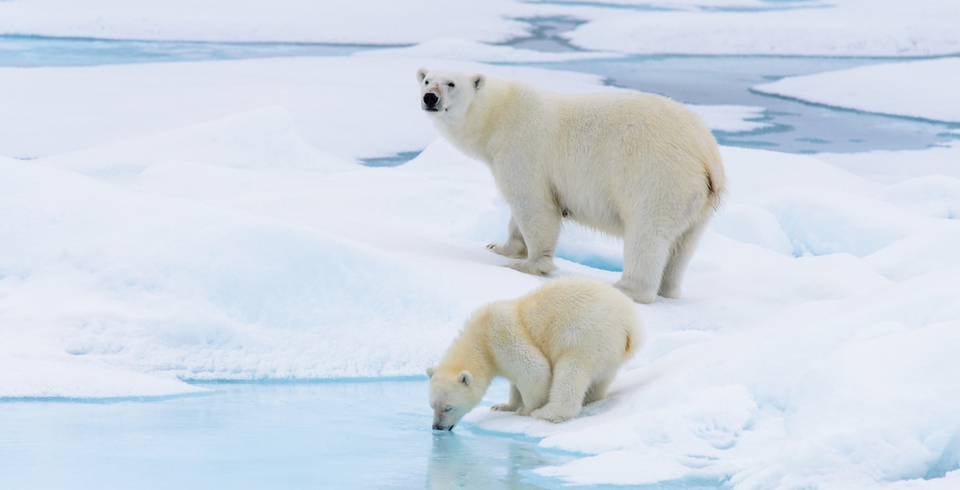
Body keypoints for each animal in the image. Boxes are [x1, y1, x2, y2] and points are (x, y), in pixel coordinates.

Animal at [417, 68, 726, 304]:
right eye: (426, 79)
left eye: (451, 83)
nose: (429, 98)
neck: (500, 115)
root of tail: (707, 153)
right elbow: (517, 216)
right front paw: (499, 247)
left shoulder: (522, 149)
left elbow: (534, 206)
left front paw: (526, 264)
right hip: (697, 201)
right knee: (682, 246)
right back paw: (668, 290)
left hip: (658, 178)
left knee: (647, 234)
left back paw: (624, 287)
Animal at [426, 276, 643, 430]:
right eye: (431, 405)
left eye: (448, 407)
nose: (437, 427)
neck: (481, 337)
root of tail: (630, 325)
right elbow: (515, 382)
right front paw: (504, 406)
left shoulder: (502, 335)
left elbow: (535, 370)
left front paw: (525, 410)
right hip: (609, 351)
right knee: (601, 379)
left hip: (584, 336)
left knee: (571, 372)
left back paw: (548, 413)